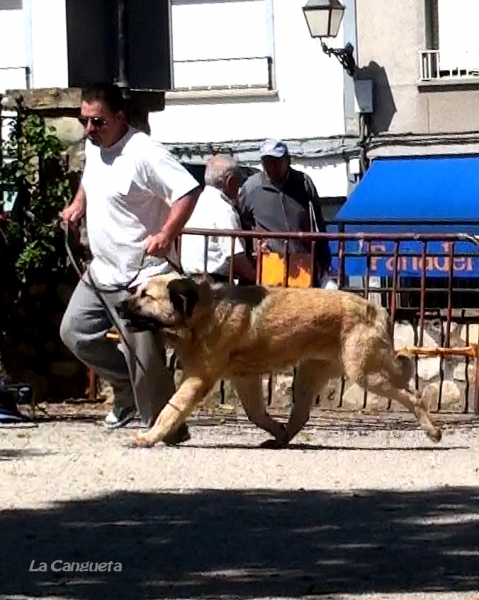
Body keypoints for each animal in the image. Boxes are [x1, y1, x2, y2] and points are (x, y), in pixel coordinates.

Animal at [122, 274, 444, 448]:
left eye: (145, 295)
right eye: (136, 292)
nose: (119, 303)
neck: (201, 311)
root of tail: (377, 309)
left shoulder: (198, 380)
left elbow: (169, 410)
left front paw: (148, 438)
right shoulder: (245, 379)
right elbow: (256, 414)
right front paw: (274, 428)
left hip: (367, 374)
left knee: (413, 396)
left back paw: (432, 430)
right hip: (309, 377)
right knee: (300, 415)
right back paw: (281, 439)